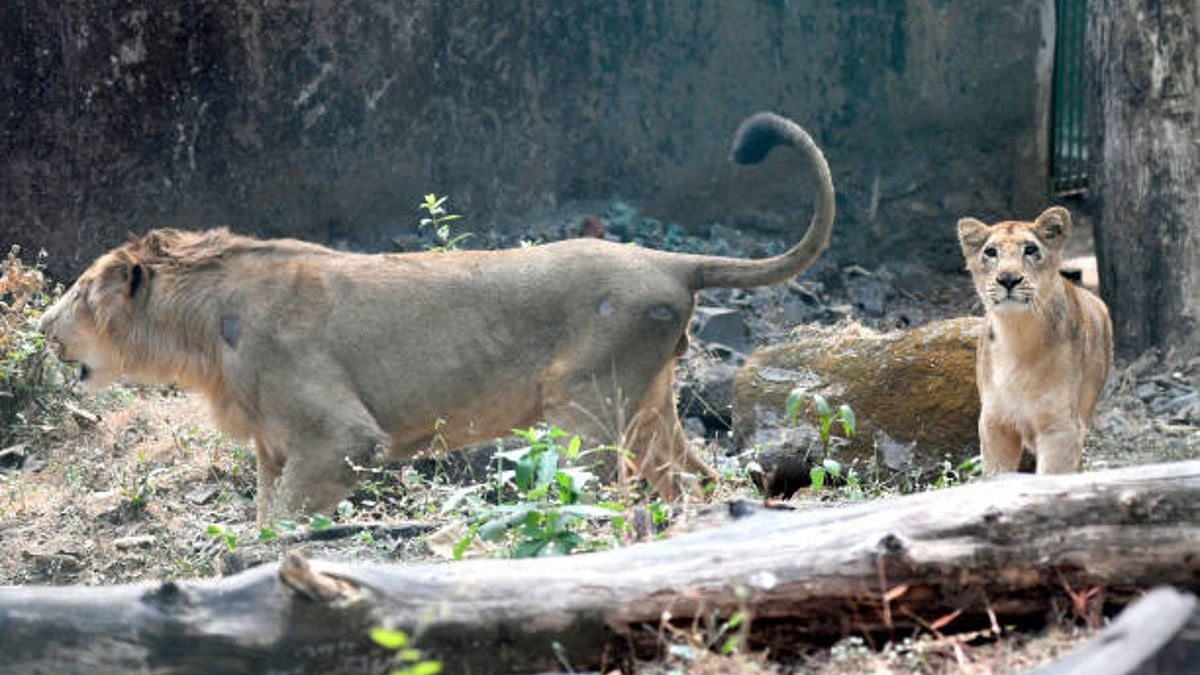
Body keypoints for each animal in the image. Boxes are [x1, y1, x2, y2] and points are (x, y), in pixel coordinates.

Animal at [39, 112, 836, 523]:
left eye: (77, 291)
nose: (42, 327)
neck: (202, 332)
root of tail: (673, 261)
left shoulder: (342, 437)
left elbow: (284, 524)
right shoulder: (273, 446)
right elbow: (264, 514)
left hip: (583, 406)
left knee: (604, 492)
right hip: (650, 410)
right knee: (696, 479)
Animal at [956, 206, 1113, 475]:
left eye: (1030, 249)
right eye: (990, 252)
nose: (1008, 279)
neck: (1018, 333)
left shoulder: (1060, 426)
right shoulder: (995, 423)